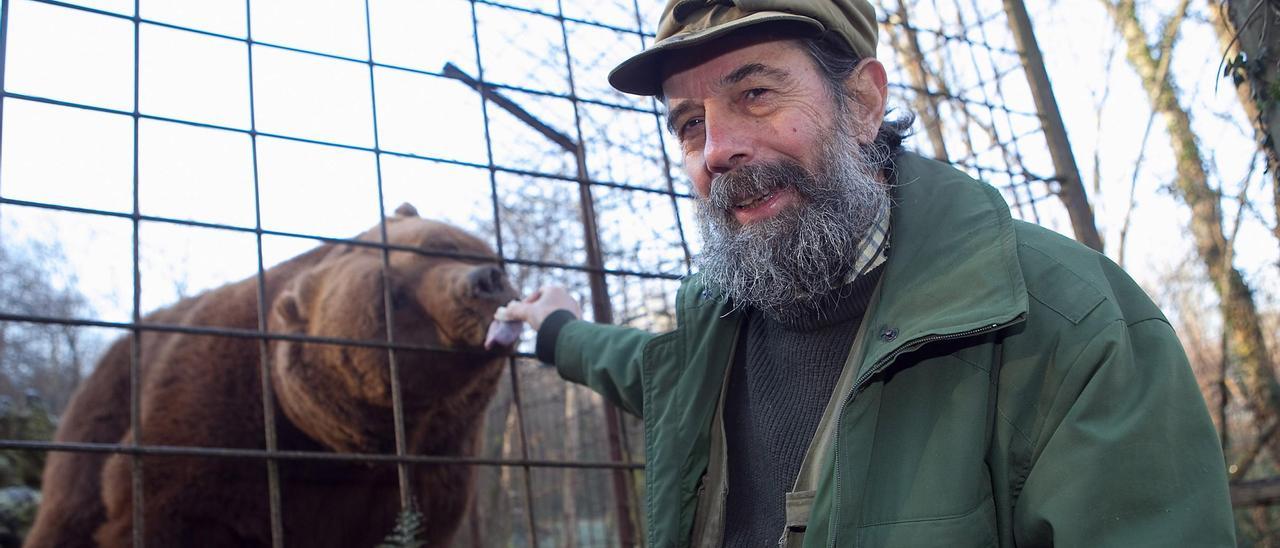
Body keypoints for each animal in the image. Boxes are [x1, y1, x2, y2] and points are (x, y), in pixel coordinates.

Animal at [23, 204, 514, 548]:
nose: (482, 283)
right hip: (100, 416)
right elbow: (165, 514)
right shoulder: (213, 426)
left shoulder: (431, 471)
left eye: (444, 244)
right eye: (394, 299)